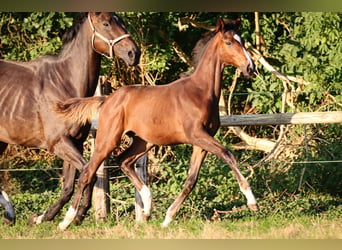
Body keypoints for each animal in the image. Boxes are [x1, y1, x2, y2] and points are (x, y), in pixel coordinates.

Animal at [0, 12, 140, 226]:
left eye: (122, 21)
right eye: (106, 24)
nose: (134, 53)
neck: (64, 83)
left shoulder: (76, 143)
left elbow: (69, 185)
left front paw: (45, 217)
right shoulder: (59, 143)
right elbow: (88, 174)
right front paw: (73, 216)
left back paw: (9, 214)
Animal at [54, 16, 256, 229]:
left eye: (242, 41)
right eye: (229, 42)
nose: (250, 67)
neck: (200, 92)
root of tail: (108, 99)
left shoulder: (201, 143)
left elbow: (191, 180)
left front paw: (167, 218)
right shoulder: (197, 135)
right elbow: (228, 154)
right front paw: (252, 201)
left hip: (144, 142)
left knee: (123, 161)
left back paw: (147, 208)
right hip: (107, 140)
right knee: (87, 172)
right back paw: (66, 221)